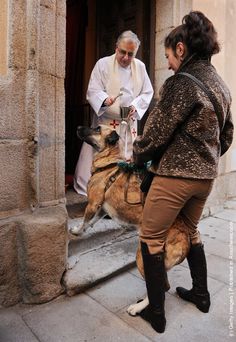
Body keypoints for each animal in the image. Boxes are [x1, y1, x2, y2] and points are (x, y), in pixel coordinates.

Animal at [69, 125, 189, 316]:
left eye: (96, 128)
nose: (79, 127)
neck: (110, 160)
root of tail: (184, 241)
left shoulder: (93, 203)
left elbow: (85, 220)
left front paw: (76, 231)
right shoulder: (102, 208)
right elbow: (92, 221)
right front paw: (83, 230)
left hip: (144, 258)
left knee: (161, 287)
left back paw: (137, 308)